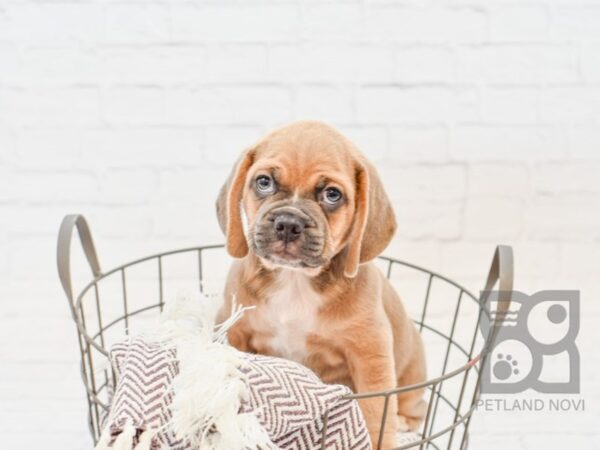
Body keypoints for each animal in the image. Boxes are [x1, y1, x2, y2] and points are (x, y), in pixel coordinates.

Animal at [216, 121, 426, 448]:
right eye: (264, 182)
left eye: (332, 194)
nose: (288, 223)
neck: (295, 280)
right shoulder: (236, 332)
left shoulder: (371, 358)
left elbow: (375, 412)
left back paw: (405, 423)